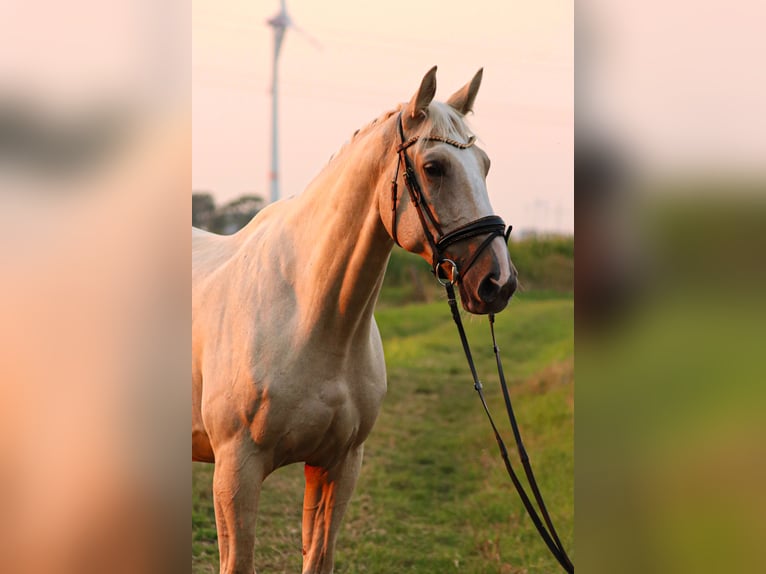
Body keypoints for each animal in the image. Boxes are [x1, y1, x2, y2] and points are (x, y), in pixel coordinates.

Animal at [190, 68, 520, 574]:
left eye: (484, 164)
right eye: (434, 167)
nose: (497, 281)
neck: (309, 319)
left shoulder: (339, 465)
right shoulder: (235, 472)